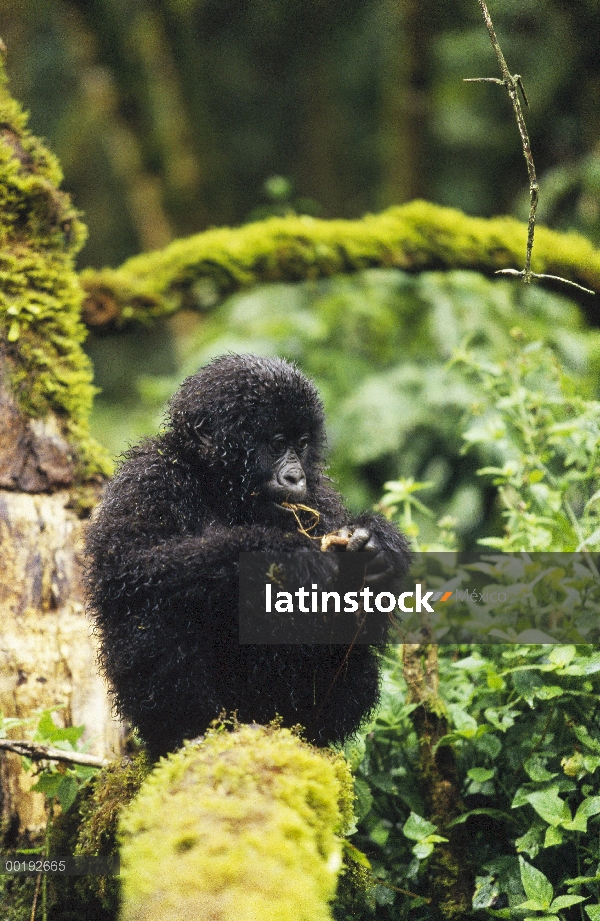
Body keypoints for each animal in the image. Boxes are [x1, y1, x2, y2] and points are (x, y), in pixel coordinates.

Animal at [85, 352, 412, 756]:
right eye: (276, 444)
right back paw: (189, 731)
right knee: (156, 608)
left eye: (302, 443)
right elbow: (129, 565)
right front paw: (283, 555)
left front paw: (377, 546)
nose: (295, 477)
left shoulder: (320, 498)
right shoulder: (147, 476)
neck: (216, 484)